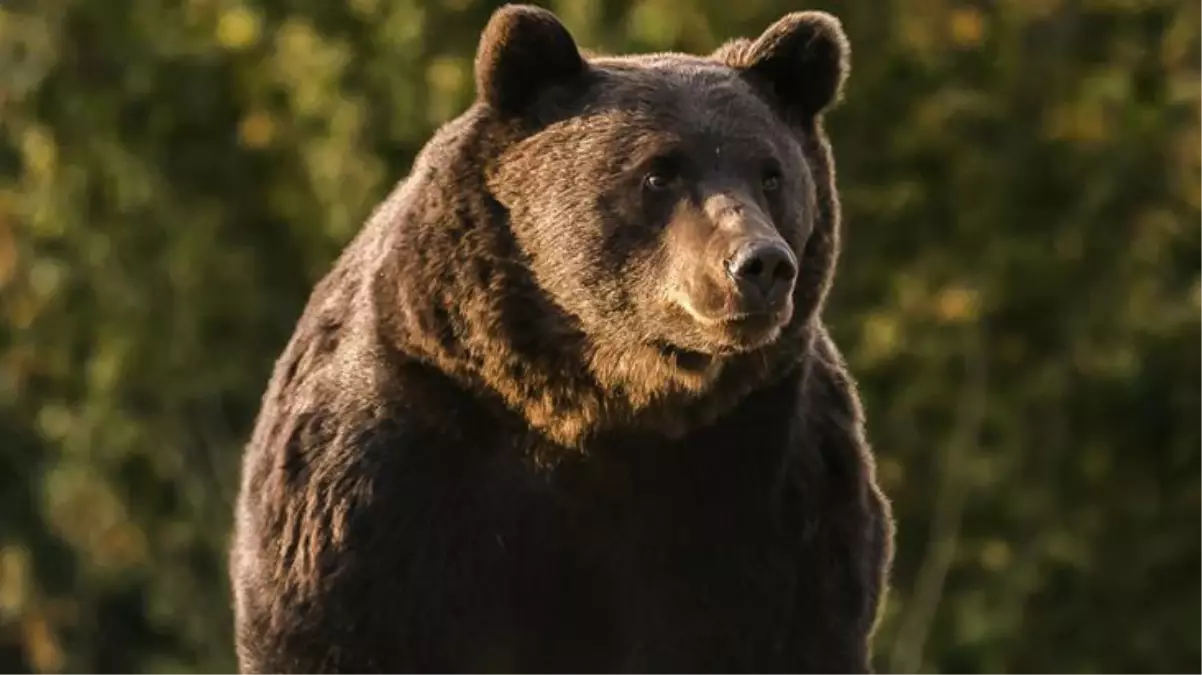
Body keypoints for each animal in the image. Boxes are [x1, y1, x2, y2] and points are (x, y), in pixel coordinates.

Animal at [231, 5, 894, 672]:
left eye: (772, 175)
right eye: (659, 172)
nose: (760, 264)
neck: (595, 403)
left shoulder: (767, 485)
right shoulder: (395, 466)